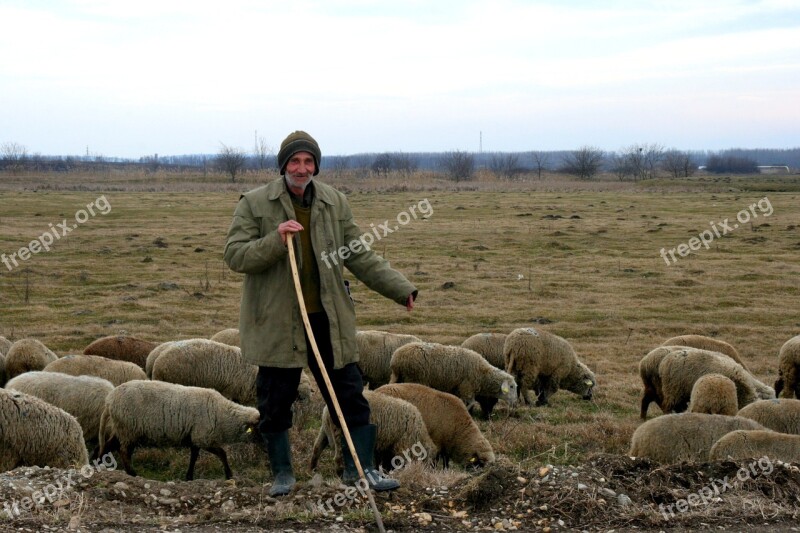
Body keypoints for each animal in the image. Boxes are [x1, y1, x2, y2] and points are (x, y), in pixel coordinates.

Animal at [96, 378, 260, 478]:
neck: (223, 414)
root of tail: (109, 400)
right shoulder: (202, 437)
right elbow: (222, 453)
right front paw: (229, 474)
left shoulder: (194, 437)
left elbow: (194, 457)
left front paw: (189, 476)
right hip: (129, 429)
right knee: (123, 451)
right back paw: (132, 473)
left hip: (122, 429)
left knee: (108, 446)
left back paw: (97, 464)